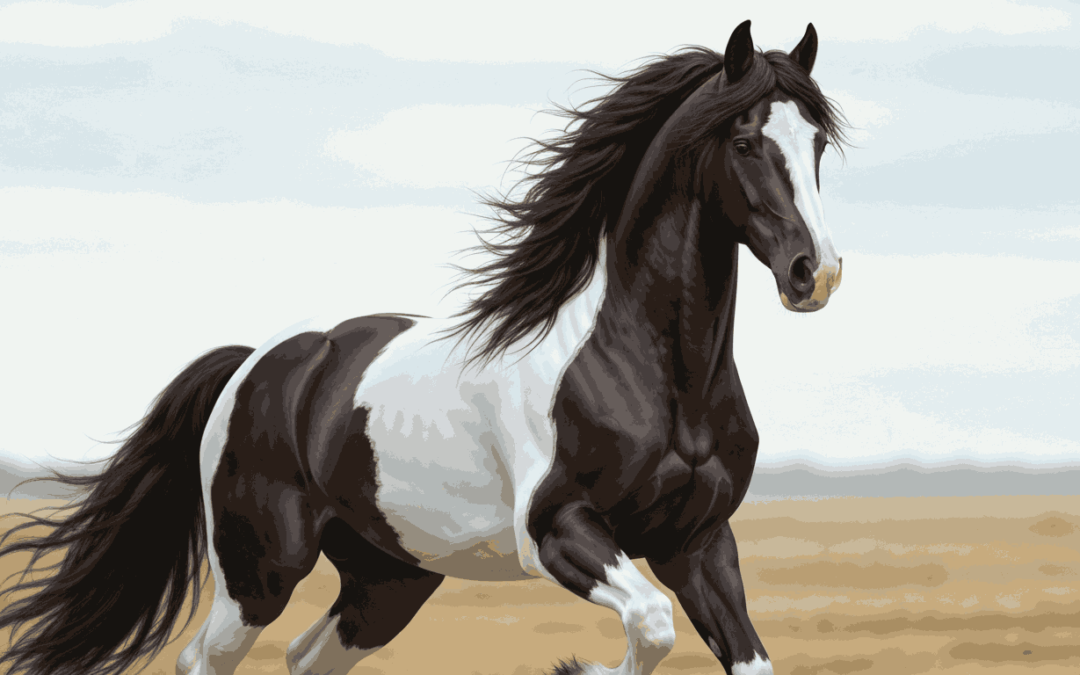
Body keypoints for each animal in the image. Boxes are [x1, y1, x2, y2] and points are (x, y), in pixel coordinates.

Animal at [0, 20, 847, 675]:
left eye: (817, 145)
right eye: (745, 140)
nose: (817, 272)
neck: (654, 374)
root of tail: (257, 362)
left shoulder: (699, 542)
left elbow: (739, 653)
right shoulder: (557, 530)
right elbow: (651, 623)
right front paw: (579, 664)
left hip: (388, 580)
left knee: (306, 655)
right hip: (258, 571)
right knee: (202, 658)